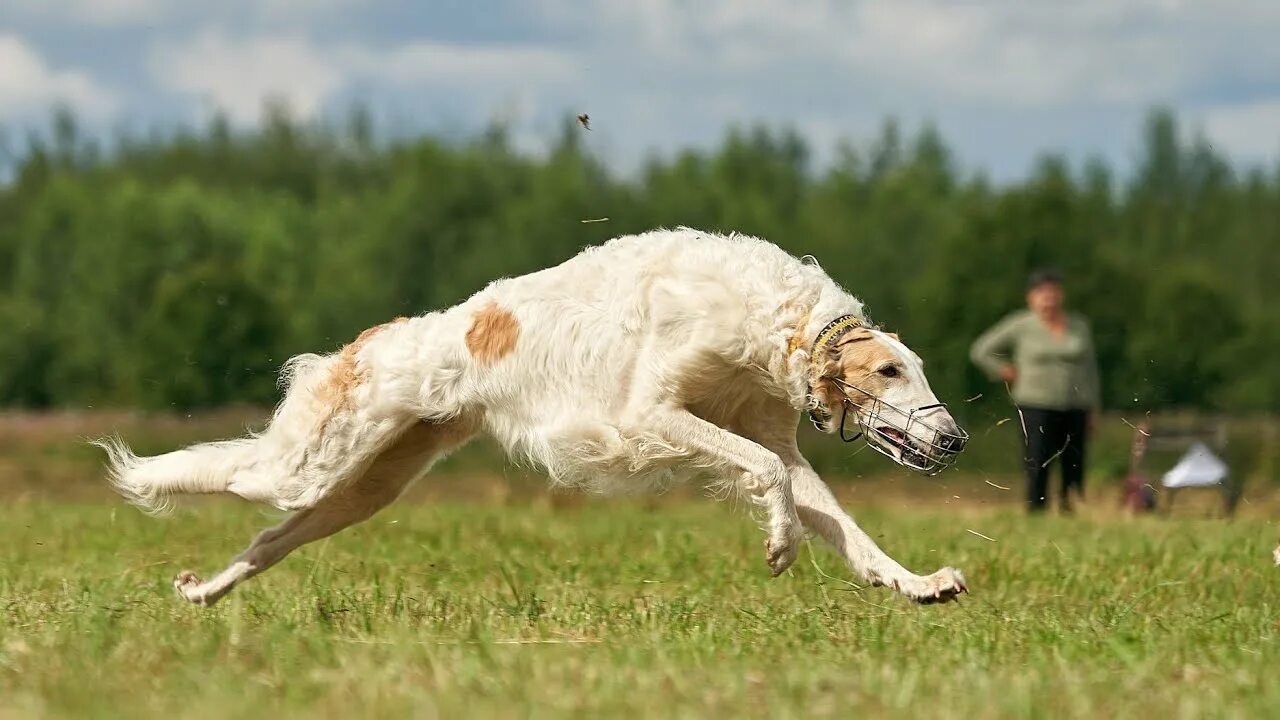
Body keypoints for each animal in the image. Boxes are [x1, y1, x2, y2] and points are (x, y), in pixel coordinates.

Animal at [97, 226, 967, 602]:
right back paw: (140, 479)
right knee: (228, 474)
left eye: (916, 368)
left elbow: (847, 527)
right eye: (889, 370)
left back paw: (203, 593)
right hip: (307, 462)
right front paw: (781, 545)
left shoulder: (773, 439)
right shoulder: (650, 414)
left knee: (268, 540)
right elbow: (768, 481)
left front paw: (921, 582)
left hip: (367, 486)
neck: (775, 321)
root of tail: (376, 338)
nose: (953, 437)